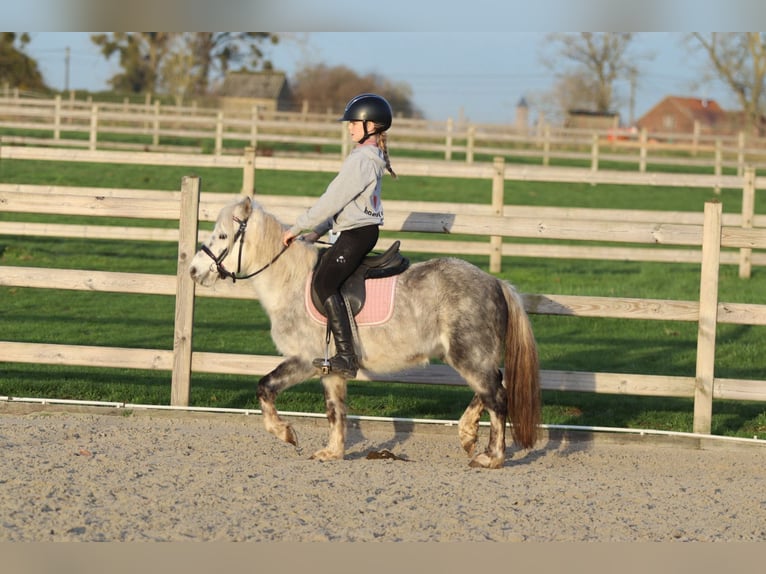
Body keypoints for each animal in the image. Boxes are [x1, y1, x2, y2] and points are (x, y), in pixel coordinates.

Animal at [189, 195, 541, 468]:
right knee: (493, 387)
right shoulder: (329, 369)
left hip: (468, 354)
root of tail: (495, 282)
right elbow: (334, 411)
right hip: (474, 355)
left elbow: (266, 388)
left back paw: (492, 457)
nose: (193, 270)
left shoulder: (304, 359)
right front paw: (332, 452)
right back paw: (468, 435)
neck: (291, 281)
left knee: (497, 397)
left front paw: (287, 433)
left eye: (223, 236)